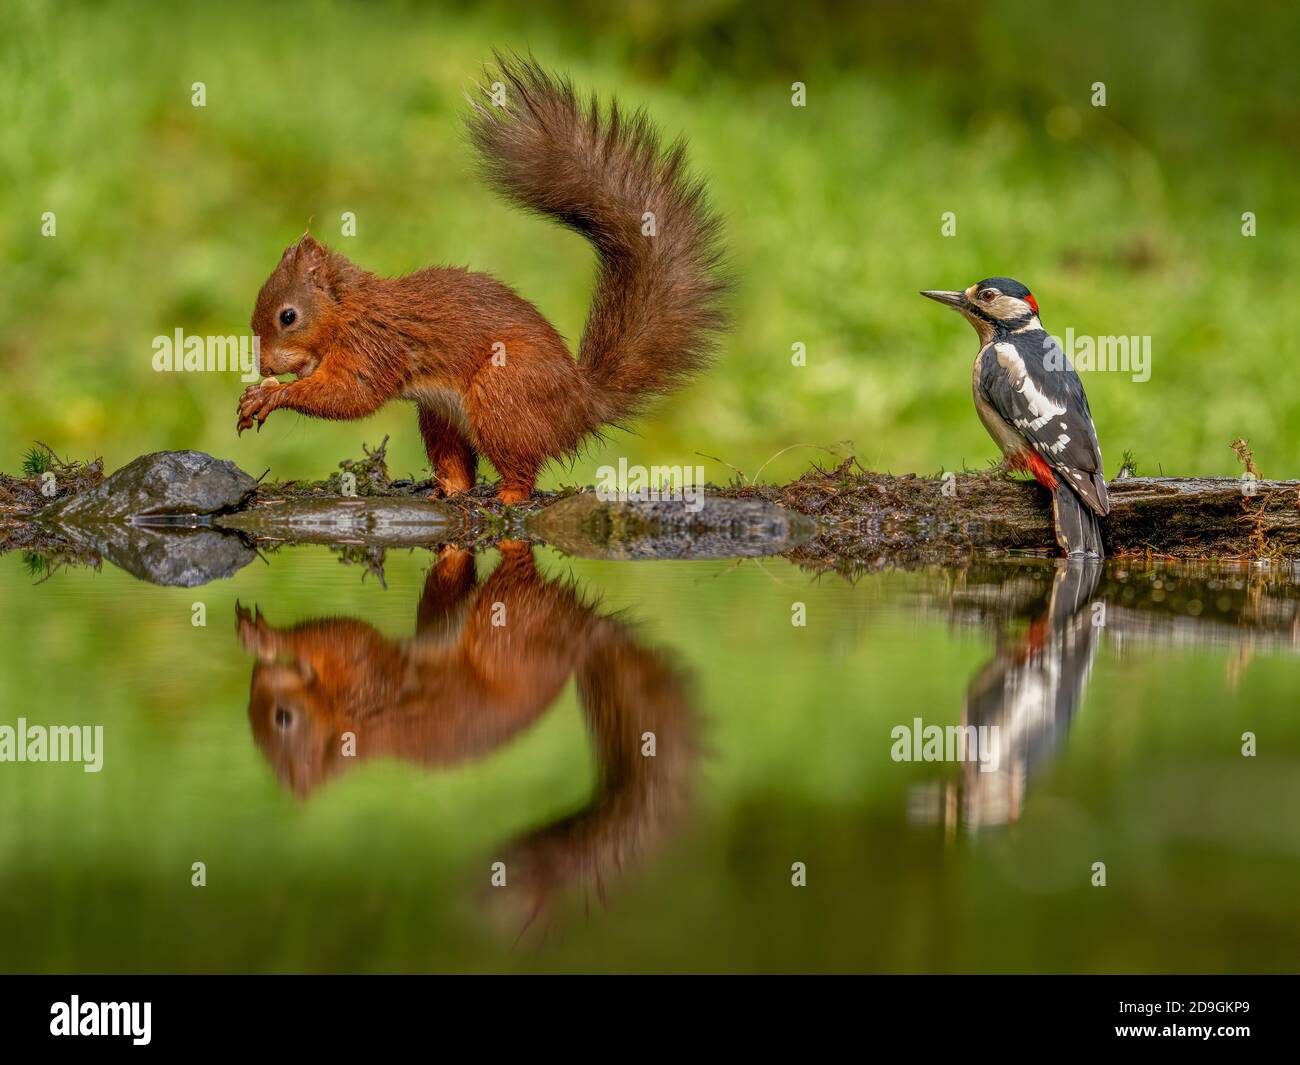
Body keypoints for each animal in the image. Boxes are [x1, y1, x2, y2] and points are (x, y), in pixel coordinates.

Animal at [237, 56, 733, 507]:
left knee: (522, 466)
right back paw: (446, 489)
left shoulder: (372, 344)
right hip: (439, 415)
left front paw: (274, 395)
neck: (349, 310)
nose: (263, 366)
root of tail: (579, 406)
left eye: (287, 316)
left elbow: (350, 395)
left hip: (502, 395)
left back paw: (509, 494)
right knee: (459, 464)